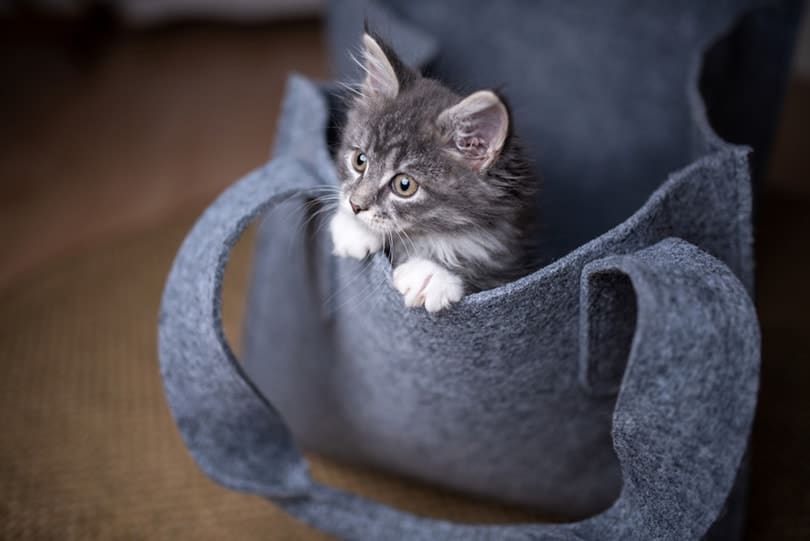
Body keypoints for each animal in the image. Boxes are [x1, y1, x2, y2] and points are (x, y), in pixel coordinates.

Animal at [328, 31, 536, 312]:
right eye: (360, 161)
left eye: (404, 185)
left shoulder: (509, 257)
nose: (355, 205)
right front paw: (353, 228)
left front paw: (430, 274)